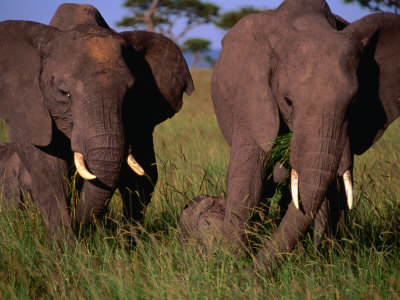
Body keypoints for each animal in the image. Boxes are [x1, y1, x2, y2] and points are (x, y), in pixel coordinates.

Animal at [0, 3, 194, 236]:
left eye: (131, 94)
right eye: (64, 93)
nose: (77, 226)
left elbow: (139, 178)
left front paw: (127, 240)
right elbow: (48, 174)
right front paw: (65, 243)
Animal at [211, 0, 398, 270]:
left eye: (353, 104)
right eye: (288, 101)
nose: (252, 269)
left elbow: (326, 188)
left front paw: (323, 258)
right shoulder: (251, 97)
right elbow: (248, 178)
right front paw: (231, 262)